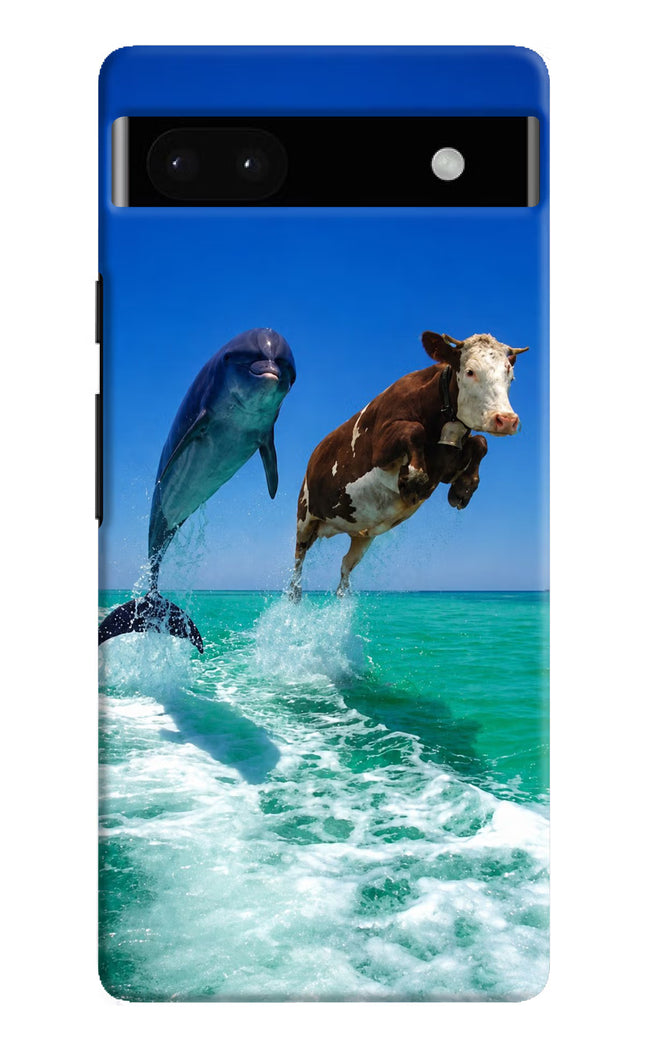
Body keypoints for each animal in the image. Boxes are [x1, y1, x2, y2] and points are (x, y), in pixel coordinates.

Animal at [288, 330, 528, 600]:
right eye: (470, 371)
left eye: (510, 375)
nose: (506, 420)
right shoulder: (381, 447)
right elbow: (414, 430)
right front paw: (413, 479)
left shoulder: (446, 465)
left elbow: (480, 442)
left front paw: (463, 489)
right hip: (304, 517)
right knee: (298, 561)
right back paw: (295, 594)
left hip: (361, 534)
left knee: (345, 566)